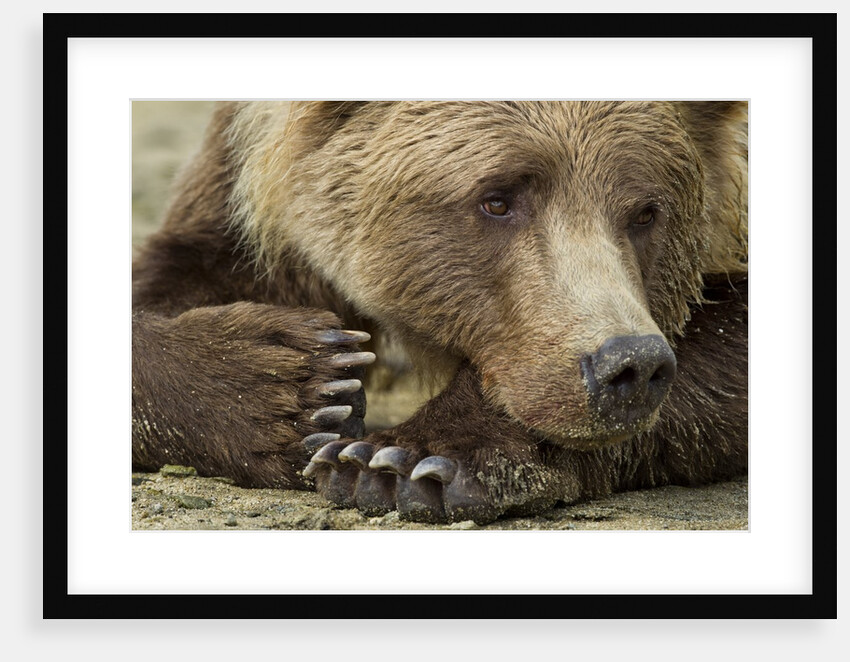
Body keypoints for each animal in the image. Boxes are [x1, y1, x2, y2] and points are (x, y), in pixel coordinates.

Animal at [132, 100, 748, 524]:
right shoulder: (243, 189)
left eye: (646, 212)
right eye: (497, 199)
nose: (630, 365)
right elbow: (181, 272)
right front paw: (295, 385)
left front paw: (400, 460)